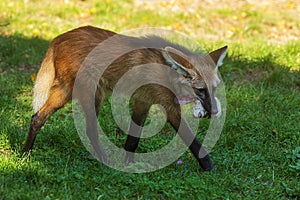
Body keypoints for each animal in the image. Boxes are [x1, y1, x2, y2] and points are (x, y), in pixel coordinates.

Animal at [24, 25, 227, 171]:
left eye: (214, 88)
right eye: (200, 90)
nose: (214, 111)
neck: (165, 72)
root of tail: (58, 38)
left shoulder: (143, 102)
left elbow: (132, 139)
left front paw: (129, 164)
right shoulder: (169, 108)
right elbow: (193, 141)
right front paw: (211, 169)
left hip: (65, 92)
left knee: (37, 117)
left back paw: (26, 153)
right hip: (94, 95)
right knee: (90, 130)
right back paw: (104, 160)